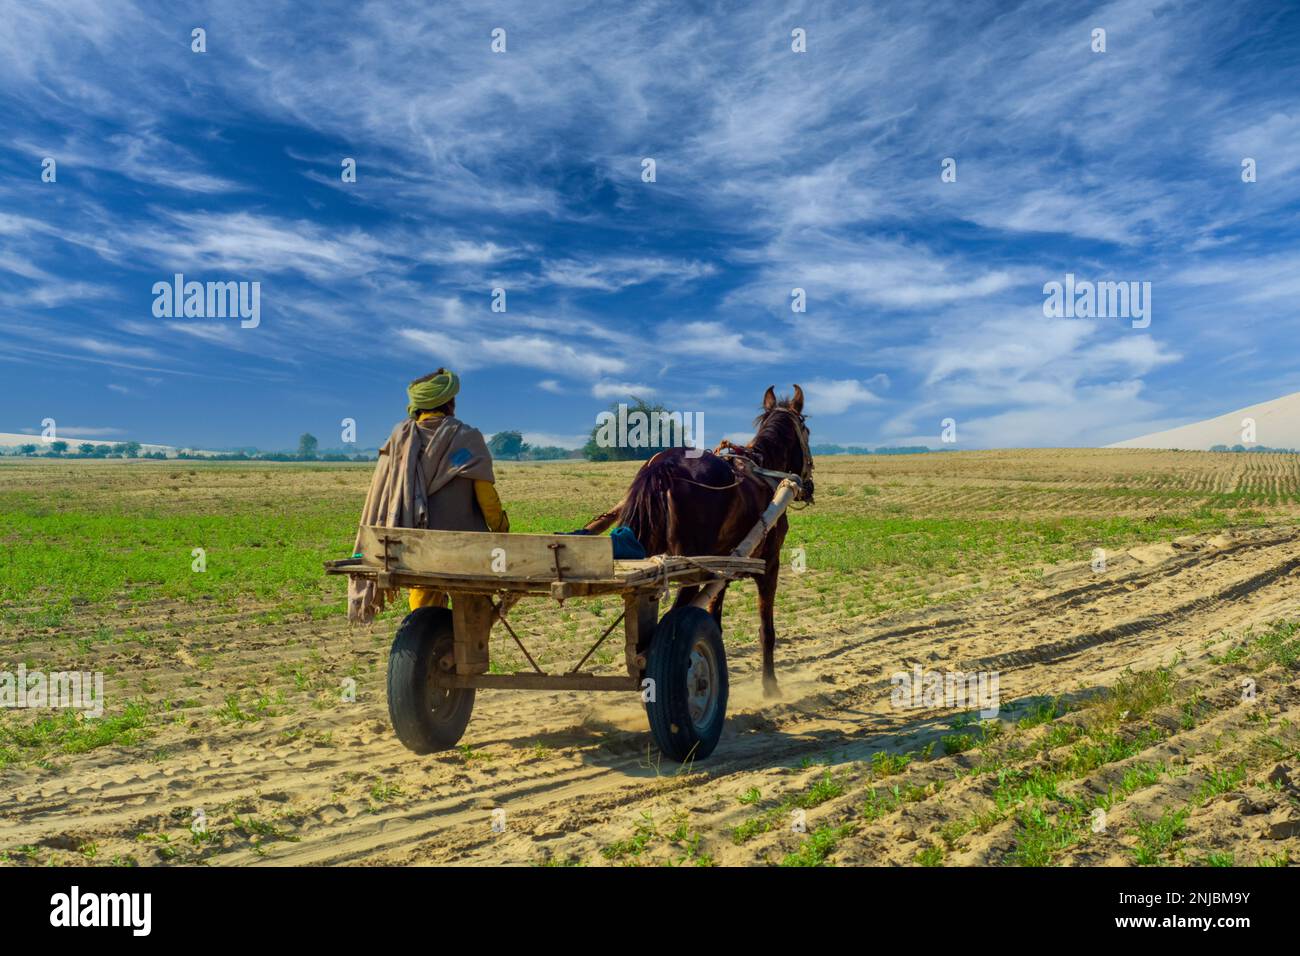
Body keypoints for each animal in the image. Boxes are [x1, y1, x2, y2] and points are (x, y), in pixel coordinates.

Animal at [587, 385, 811, 697]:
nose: (809, 486)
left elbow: (715, 620)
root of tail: (665, 467)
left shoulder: (720, 569)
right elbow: (766, 630)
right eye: (807, 430)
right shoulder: (770, 565)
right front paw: (770, 687)